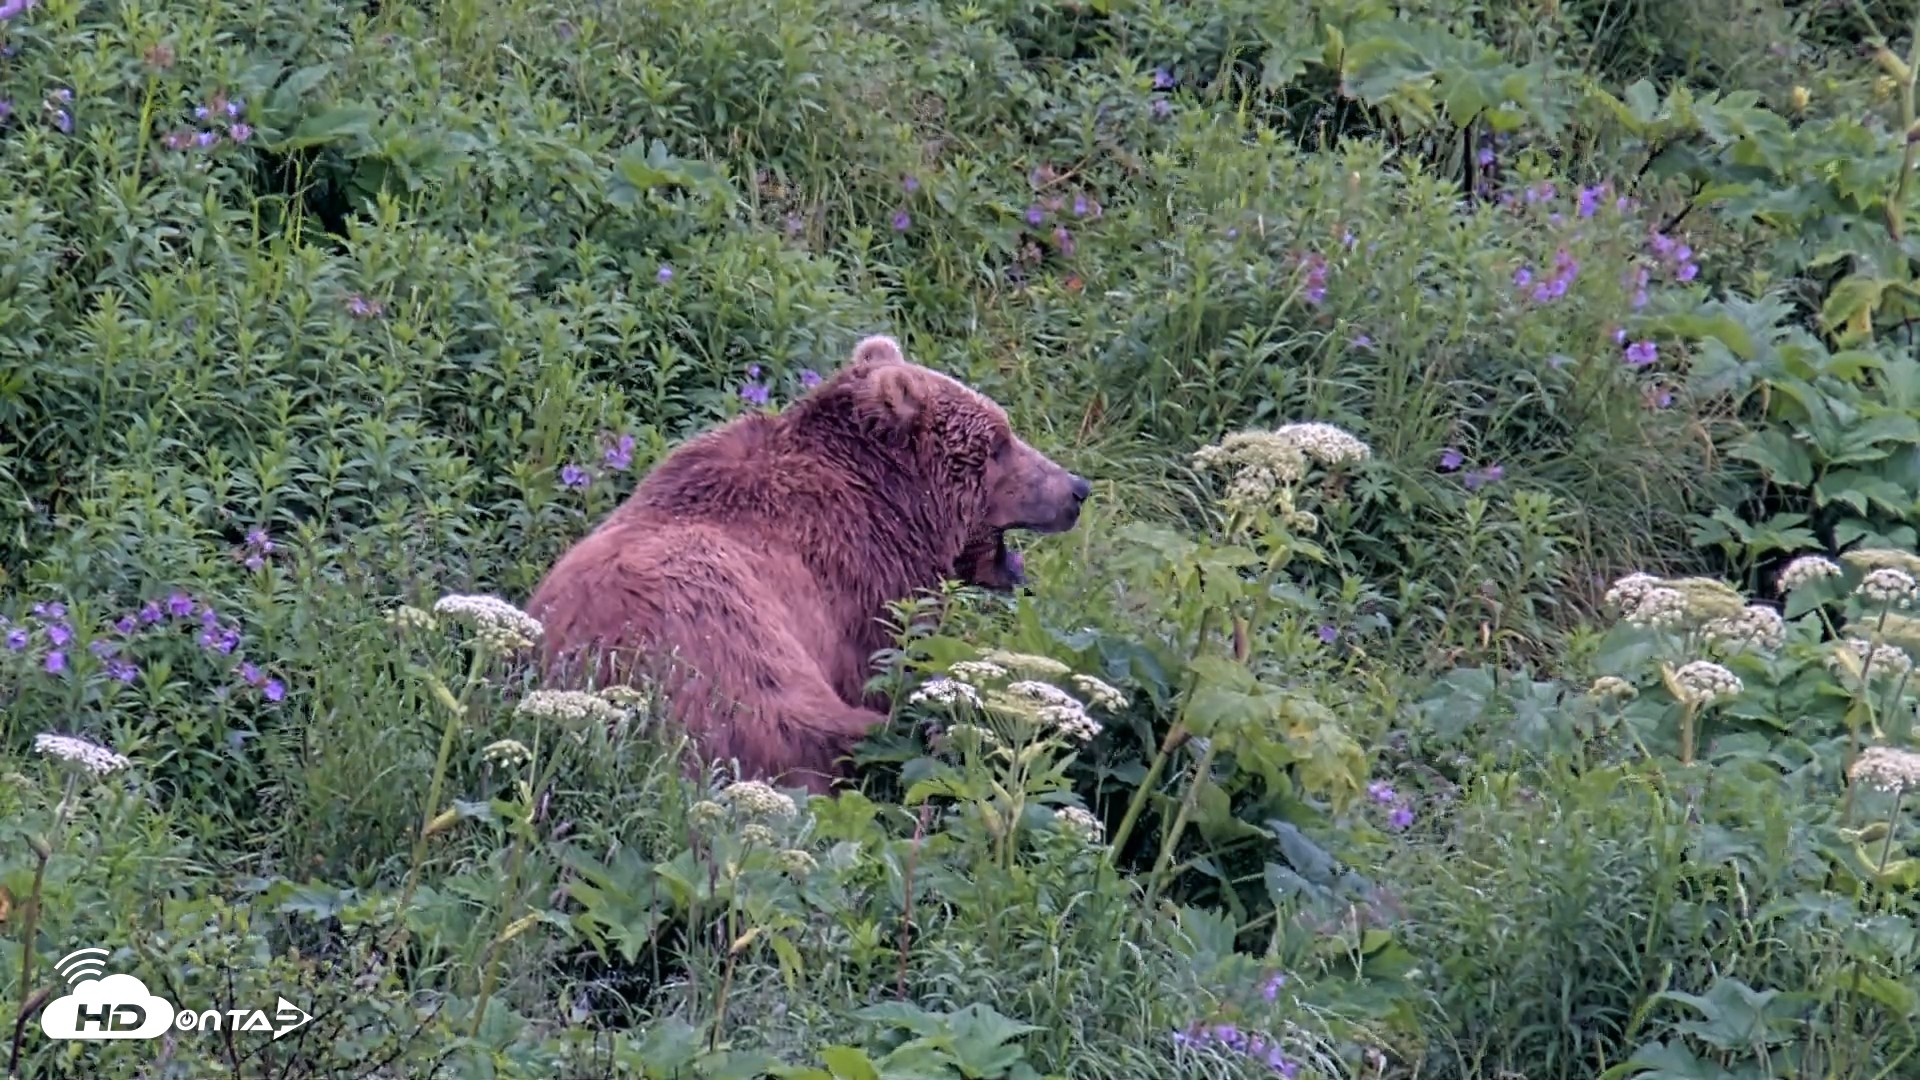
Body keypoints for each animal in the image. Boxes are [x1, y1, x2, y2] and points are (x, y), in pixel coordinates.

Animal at [524, 333, 1092, 795]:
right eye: (999, 444)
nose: (1077, 489)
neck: (895, 504)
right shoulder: (858, 585)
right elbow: (886, 664)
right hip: (724, 640)